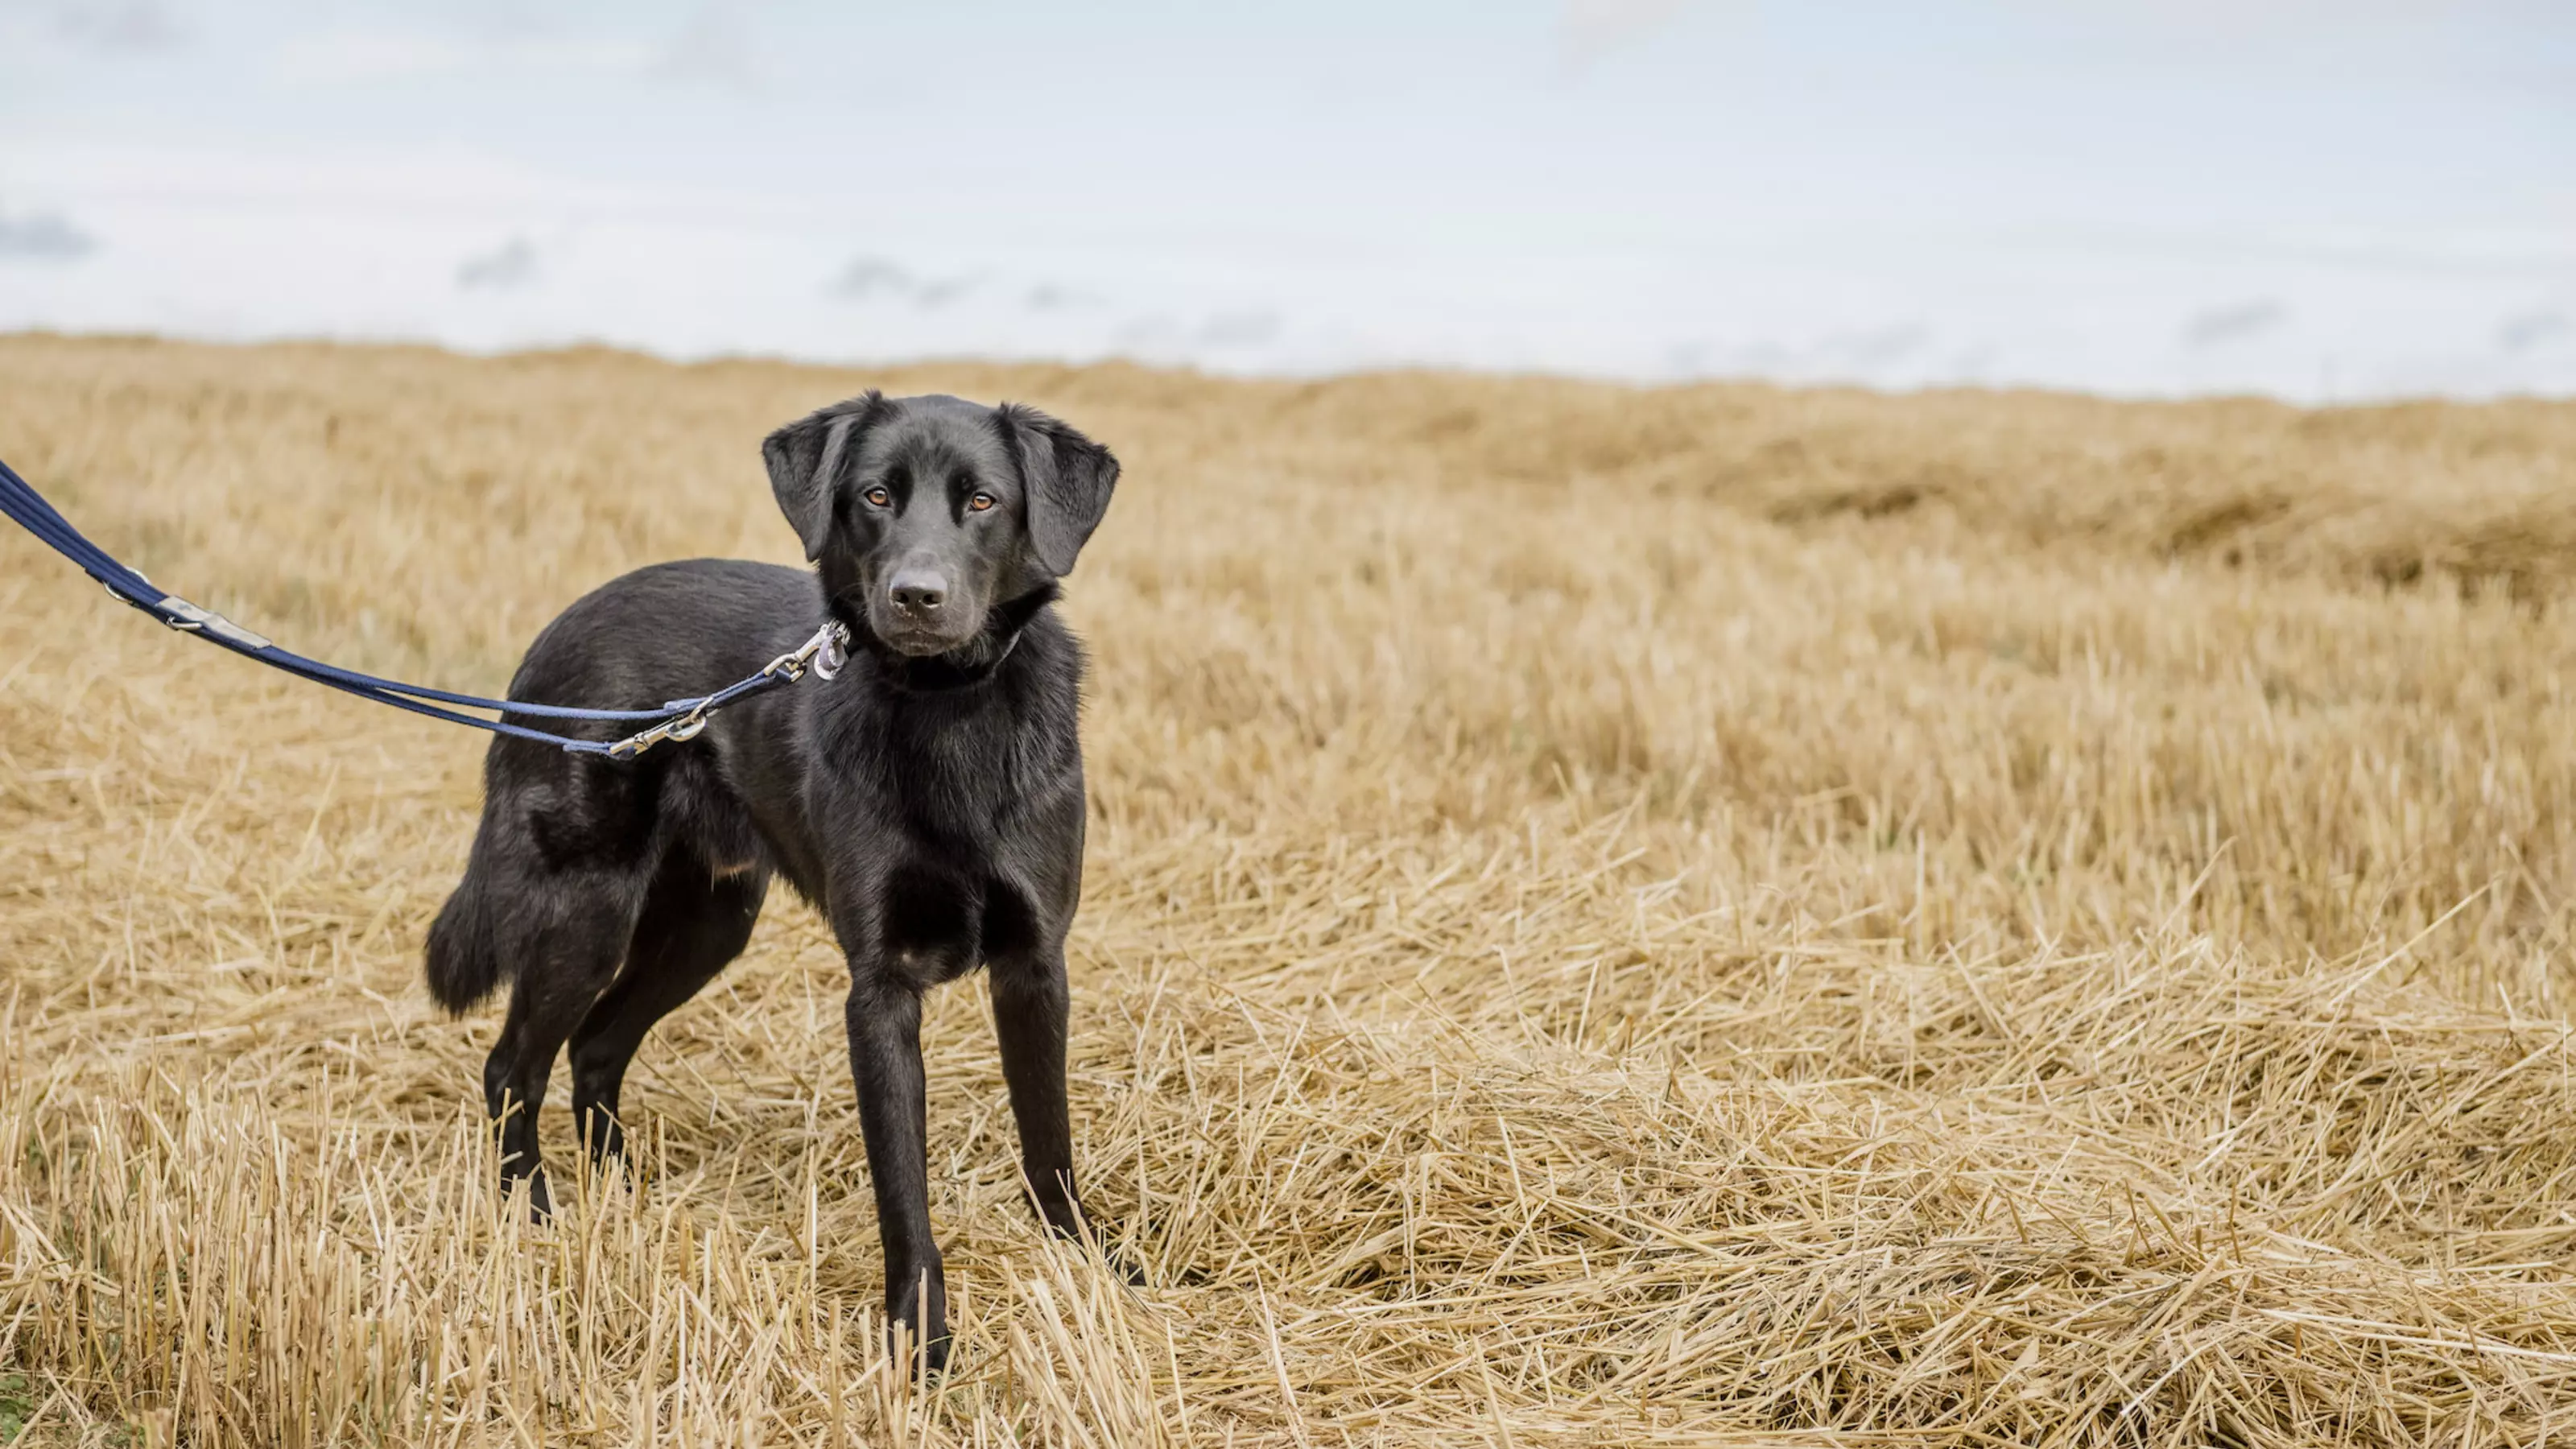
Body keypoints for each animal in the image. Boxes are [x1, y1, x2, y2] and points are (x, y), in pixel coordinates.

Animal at [422, 389, 1117, 1371]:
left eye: (983, 502)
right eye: (875, 496)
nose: (916, 598)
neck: (948, 710)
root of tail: (548, 643)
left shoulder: (1036, 965)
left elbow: (1048, 1138)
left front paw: (1091, 1271)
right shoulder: (879, 990)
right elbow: (902, 1188)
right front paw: (921, 1344)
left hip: (708, 924)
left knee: (595, 1051)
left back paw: (623, 1209)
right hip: (584, 919)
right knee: (511, 1068)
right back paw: (536, 1221)